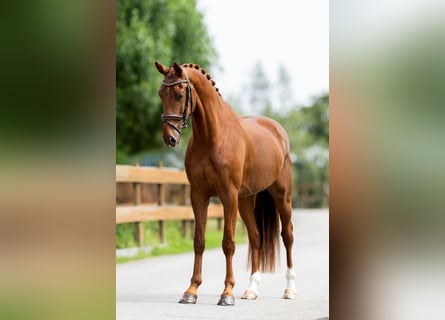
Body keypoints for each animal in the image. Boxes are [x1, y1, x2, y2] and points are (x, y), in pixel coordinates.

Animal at [154, 62, 296, 304]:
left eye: (179, 94)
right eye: (160, 94)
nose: (169, 138)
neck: (213, 137)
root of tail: (278, 130)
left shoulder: (228, 195)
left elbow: (228, 243)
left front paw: (227, 293)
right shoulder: (198, 195)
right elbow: (199, 240)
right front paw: (191, 291)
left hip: (282, 196)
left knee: (287, 236)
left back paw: (290, 289)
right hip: (246, 200)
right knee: (256, 237)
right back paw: (251, 290)